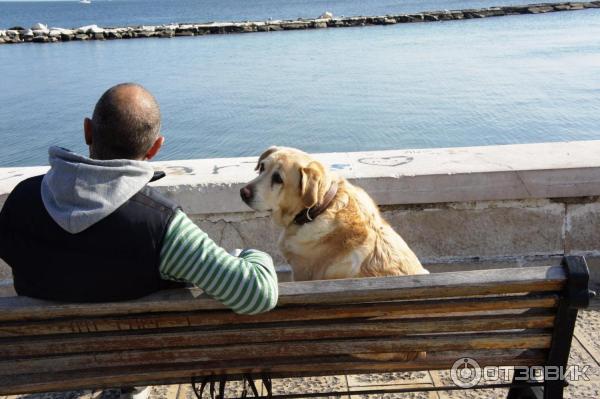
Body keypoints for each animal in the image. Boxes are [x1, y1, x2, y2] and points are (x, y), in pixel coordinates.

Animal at [239, 147, 426, 362]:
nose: (243, 192)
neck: (318, 208)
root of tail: (418, 350)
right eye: (262, 167)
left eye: (278, 179)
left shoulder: (302, 274)